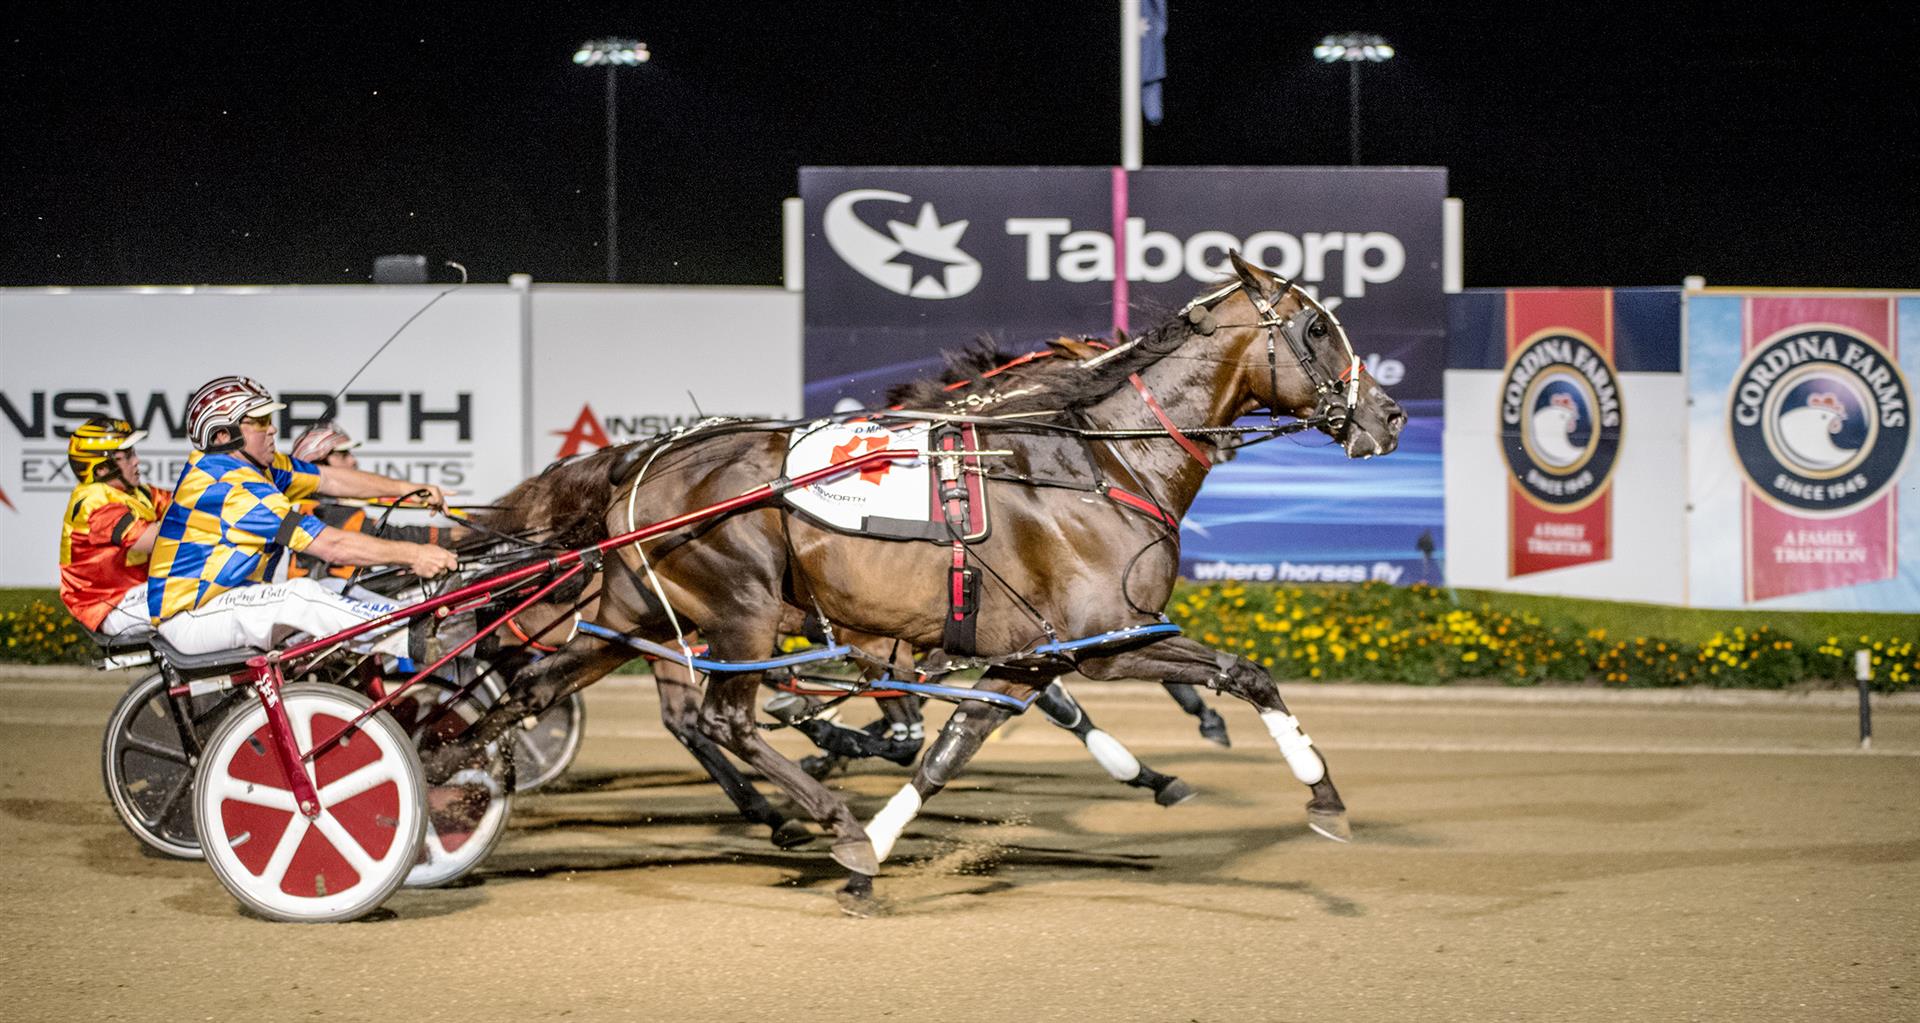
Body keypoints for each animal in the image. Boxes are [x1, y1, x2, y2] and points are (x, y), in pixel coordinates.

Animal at [439, 251, 1413, 913]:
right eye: (1317, 327)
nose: (1390, 413)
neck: (1093, 464)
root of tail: (643, 461)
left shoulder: (1028, 657)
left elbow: (951, 749)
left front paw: (874, 847)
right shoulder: (1105, 640)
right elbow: (1247, 673)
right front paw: (1324, 798)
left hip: (634, 617)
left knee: (535, 689)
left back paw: (455, 776)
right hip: (740, 610)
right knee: (719, 719)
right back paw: (817, 813)